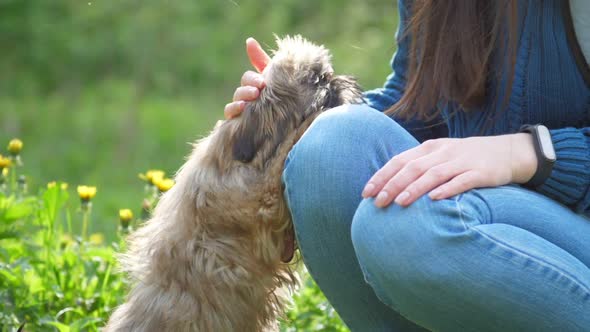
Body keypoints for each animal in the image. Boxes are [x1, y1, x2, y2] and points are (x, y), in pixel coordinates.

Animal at [107, 35, 366, 330]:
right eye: (316, 79)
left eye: (326, 74)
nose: (337, 80)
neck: (245, 154)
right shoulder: (260, 200)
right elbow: (289, 144)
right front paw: (311, 120)